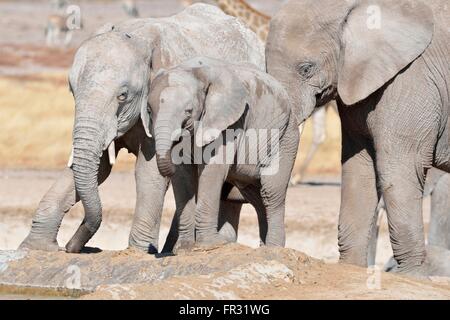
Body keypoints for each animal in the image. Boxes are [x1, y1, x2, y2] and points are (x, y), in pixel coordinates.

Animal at [21, 2, 266, 252]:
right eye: (72, 90)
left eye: (123, 95)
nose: (71, 246)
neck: (137, 38)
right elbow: (99, 168)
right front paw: (36, 247)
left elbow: (147, 171)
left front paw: (137, 251)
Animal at [147, 57, 298, 248]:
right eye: (149, 111)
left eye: (188, 112)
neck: (196, 72)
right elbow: (183, 175)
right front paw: (185, 248)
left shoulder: (231, 122)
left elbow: (213, 169)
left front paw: (210, 244)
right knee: (256, 196)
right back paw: (263, 248)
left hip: (287, 136)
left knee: (271, 192)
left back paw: (273, 248)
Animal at [266, 0, 450, 276]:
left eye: (306, 69)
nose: (271, 250)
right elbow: (359, 168)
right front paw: (350, 269)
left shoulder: (412, 81)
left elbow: (399, 169)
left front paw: (411, 277)